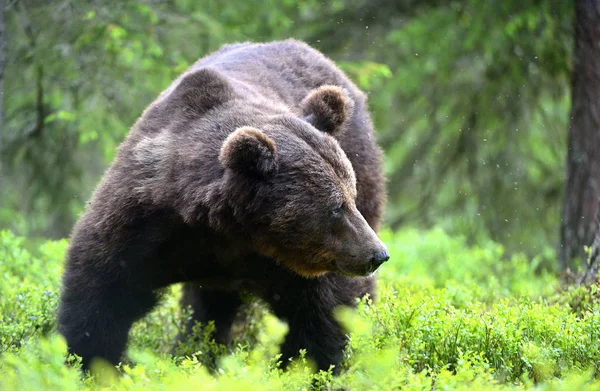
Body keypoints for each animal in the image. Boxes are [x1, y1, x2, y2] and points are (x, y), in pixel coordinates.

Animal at [58, 39, 390, 374]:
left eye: (350, 195)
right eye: (336, 206)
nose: (377, 254)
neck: (226, 229)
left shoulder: (297, 264)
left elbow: (324, 313)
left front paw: (311, 368)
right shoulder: (142, 220)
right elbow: (103, 294)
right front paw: (89, 363)